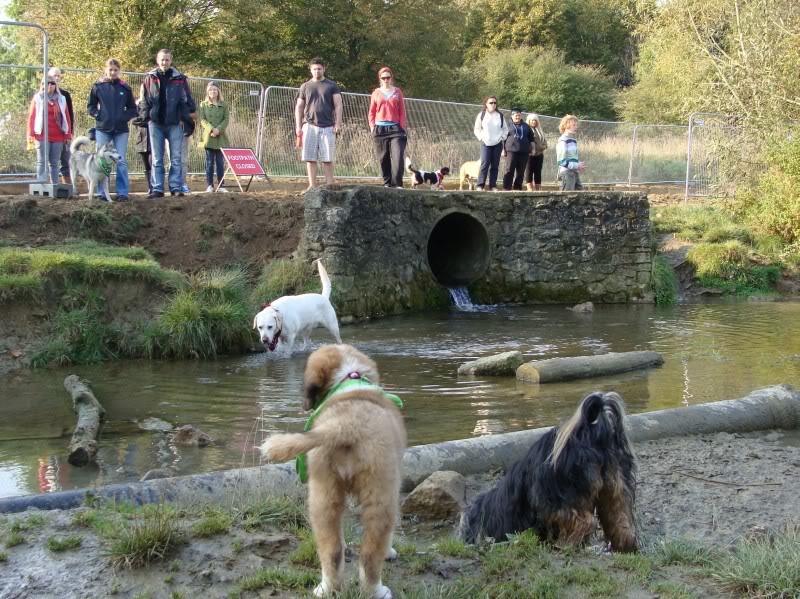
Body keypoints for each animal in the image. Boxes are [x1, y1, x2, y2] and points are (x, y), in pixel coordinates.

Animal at [260, 344, 406, 599]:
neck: (348, 378)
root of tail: (345, 424)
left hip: (323, 493)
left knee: (331, 549)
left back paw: (327, 588)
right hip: (381, 493)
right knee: (371, 553)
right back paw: (376, 590)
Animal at [456, 392, 636, 556]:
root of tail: (591, 435)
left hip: (557, 496)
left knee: (584, 521)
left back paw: (566, 544)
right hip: (615, 486)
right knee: (620, 519)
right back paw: (625, 546)